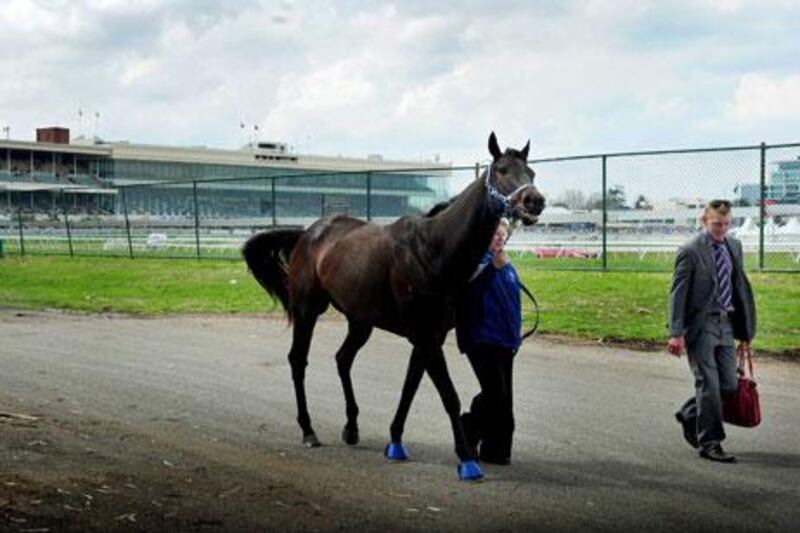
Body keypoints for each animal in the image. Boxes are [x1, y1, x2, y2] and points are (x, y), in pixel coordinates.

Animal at [244, 131, 544, 480]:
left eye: (531, 172)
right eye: (503, 170)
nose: (535, 201)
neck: (434, 249)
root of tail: (307, 233)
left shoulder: (429, 336)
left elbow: (409, 387)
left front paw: (396, 441)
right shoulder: (425, 335)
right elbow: (449, 395)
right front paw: (467, 459)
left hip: (360, 320)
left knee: (343, 359)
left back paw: (351, 427)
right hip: (308, 310)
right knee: (297, 361)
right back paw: (308, 430)